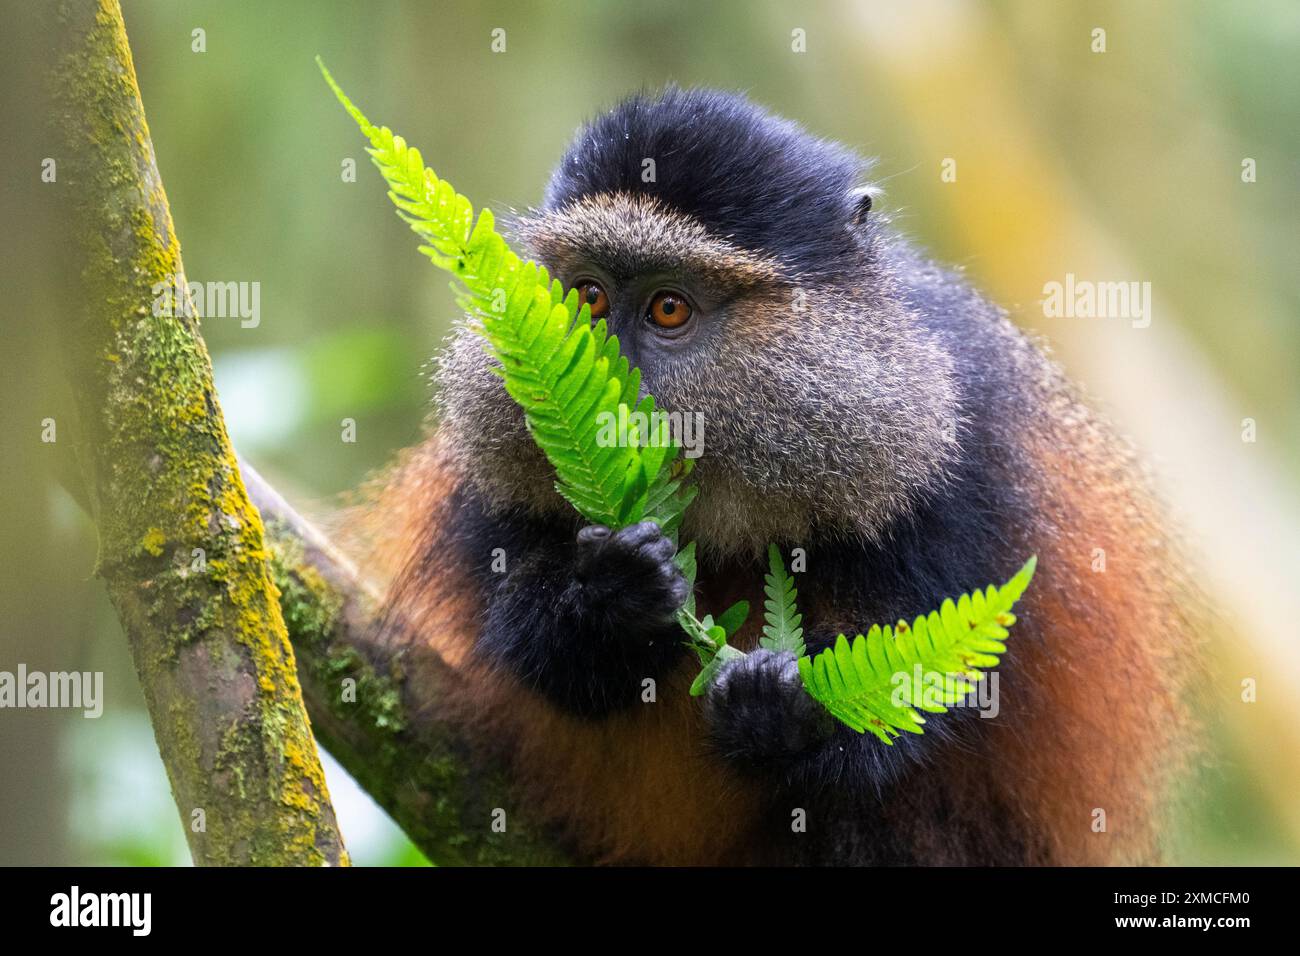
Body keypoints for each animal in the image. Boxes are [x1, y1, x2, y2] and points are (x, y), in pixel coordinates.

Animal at [367, 87, 1198, 865]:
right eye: (591, 298)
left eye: (669, 309)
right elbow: (542, 661)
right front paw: (614, 594)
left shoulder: (968, 472)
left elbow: (924, 699)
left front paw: (775, 717)